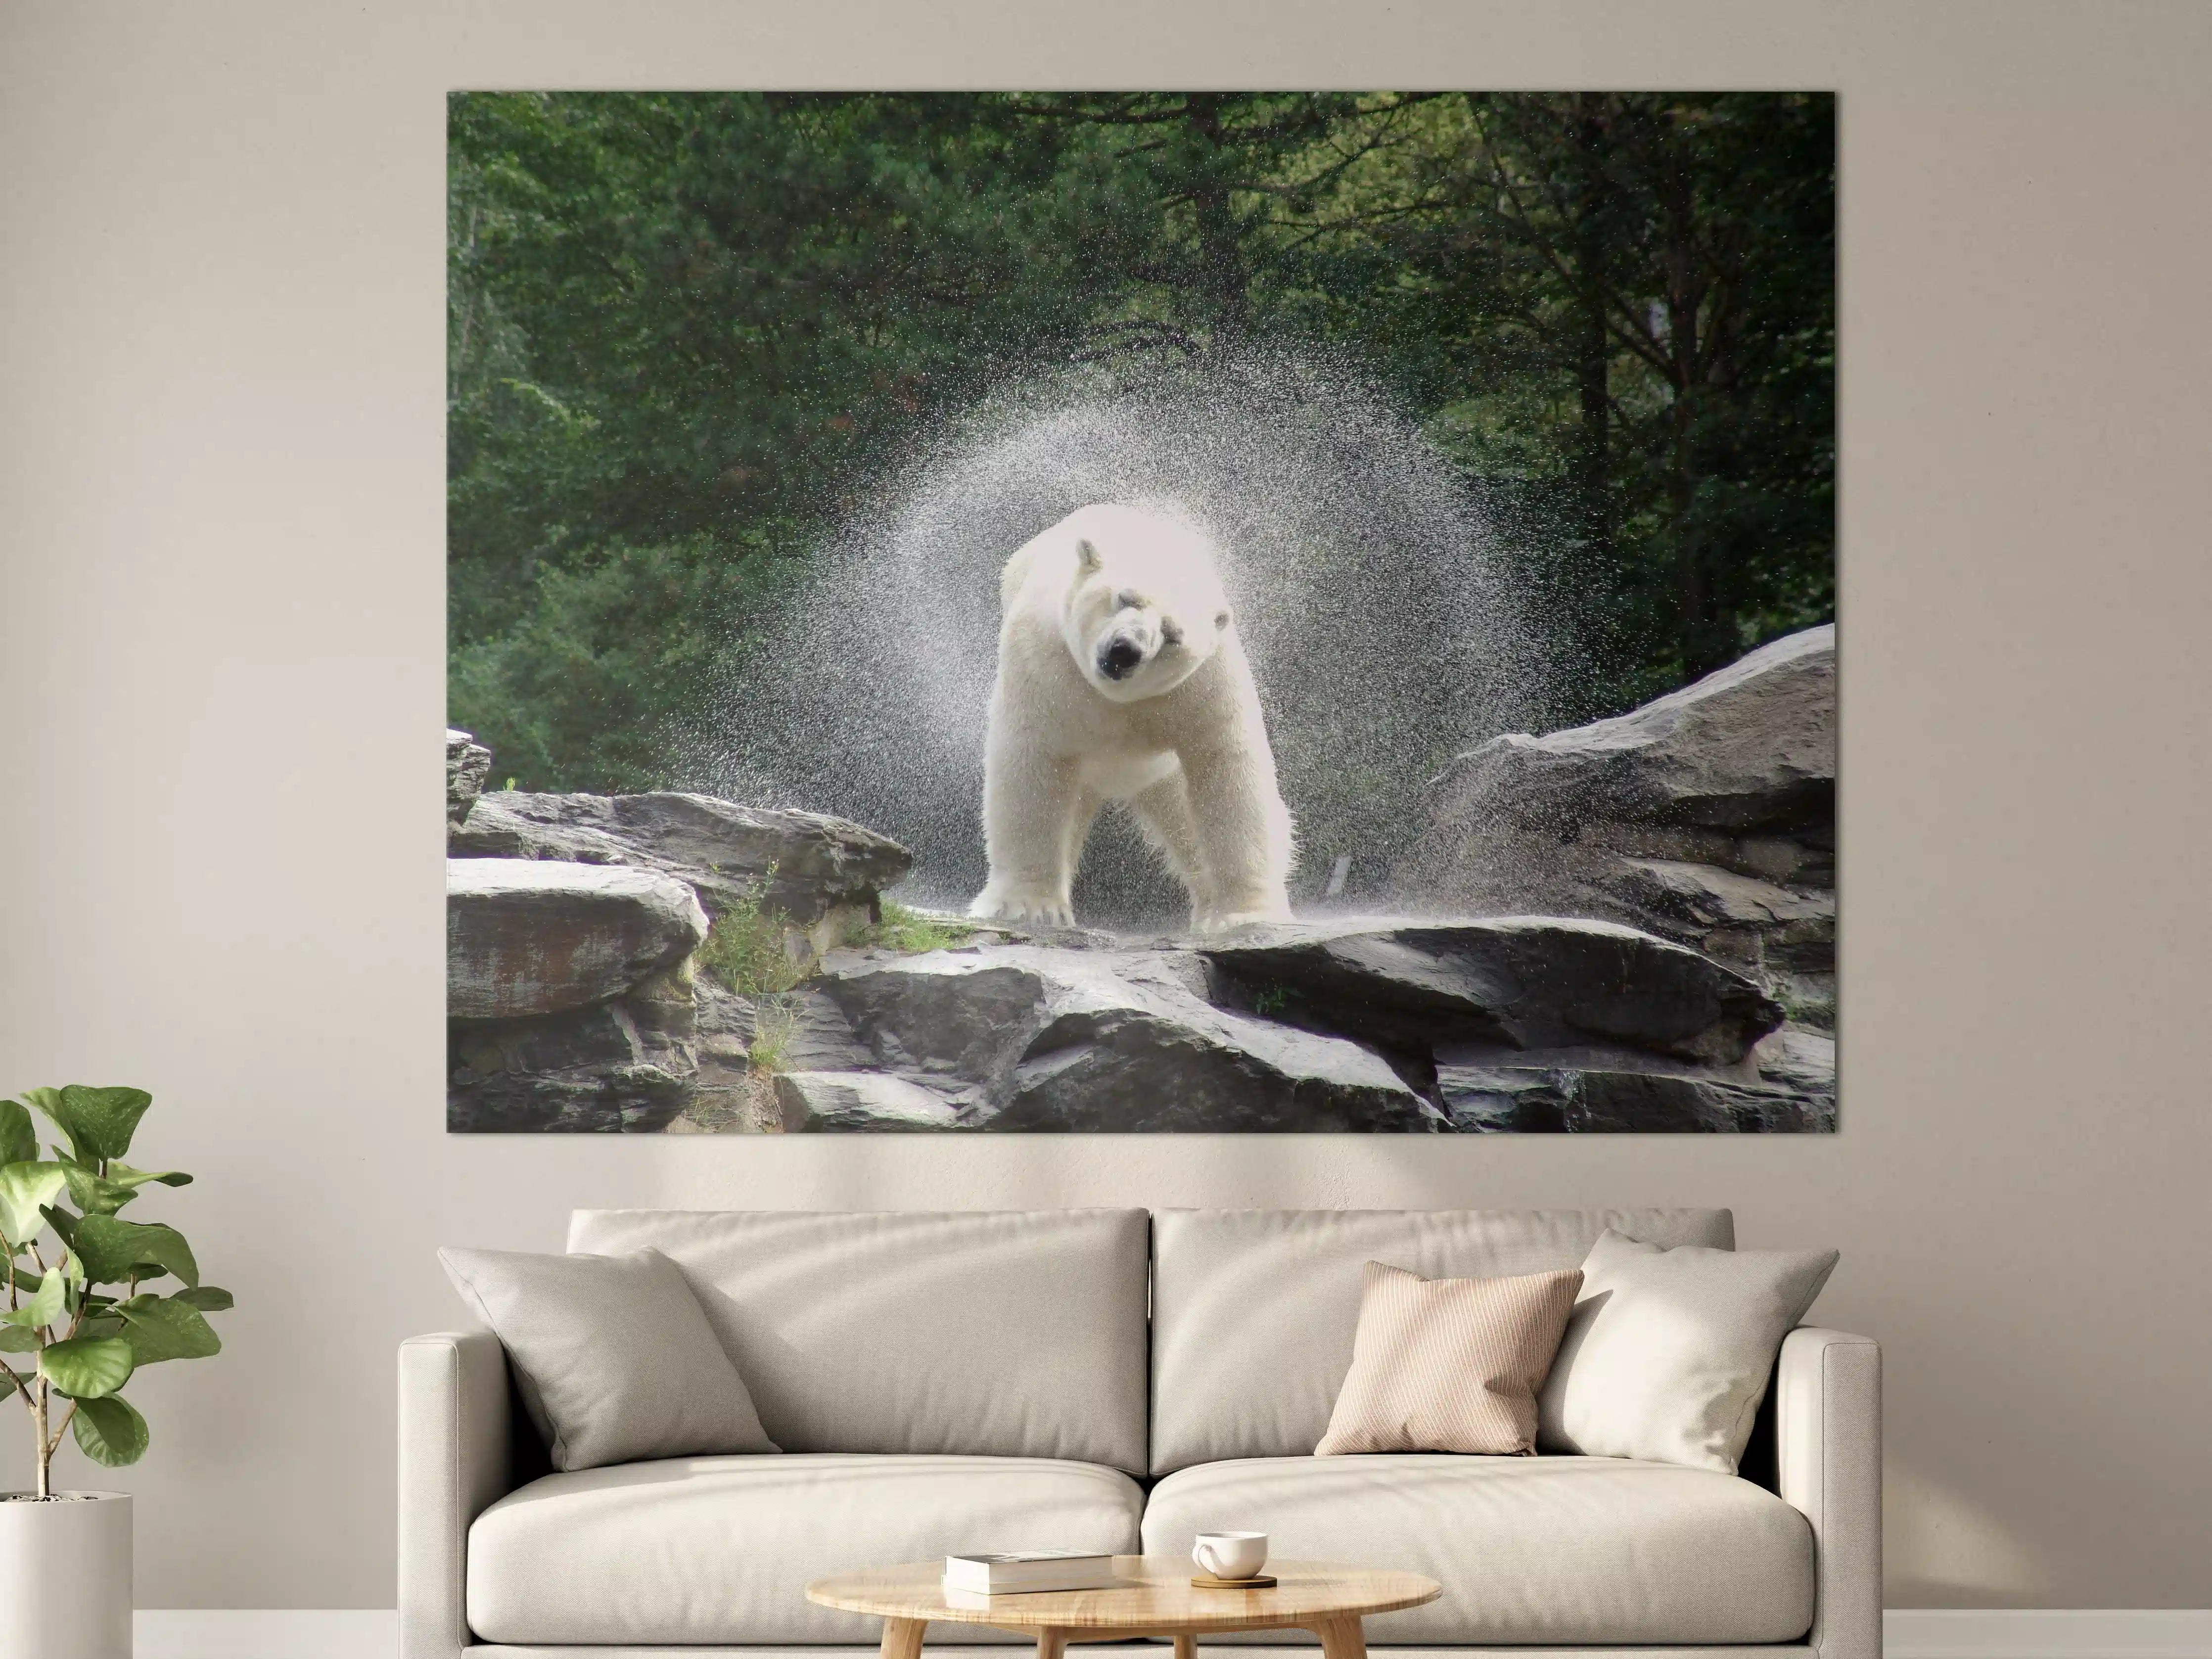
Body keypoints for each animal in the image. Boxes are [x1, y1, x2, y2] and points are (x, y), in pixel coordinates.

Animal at [968, 502, 1296, 933]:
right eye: (1125, 599)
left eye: (1173, 635)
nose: (1125, 651)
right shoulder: (1046, 661)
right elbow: (1033, 763)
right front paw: (1027, 907)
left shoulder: (1203, 684)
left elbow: (1226, 769)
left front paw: (1247, 916)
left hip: (1160, 773)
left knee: (1184, 817)